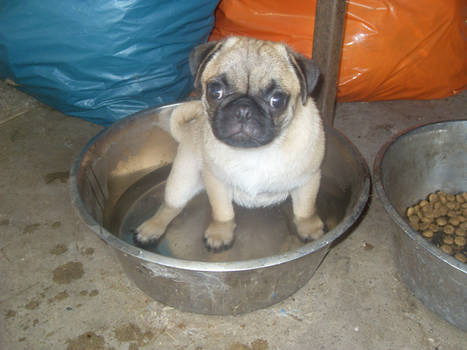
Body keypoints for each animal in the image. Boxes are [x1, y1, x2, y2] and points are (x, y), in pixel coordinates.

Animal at [135, 37, 326, 252]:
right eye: (215, 91)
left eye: (277, 100)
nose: (243, 109)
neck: (254, 152)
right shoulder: (216, 182)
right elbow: (223, 212)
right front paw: (220, 233)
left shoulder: (308, 180)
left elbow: (305, 210)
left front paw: (310, 228)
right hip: (183, 179)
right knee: (170, 206)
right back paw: (152, 228)